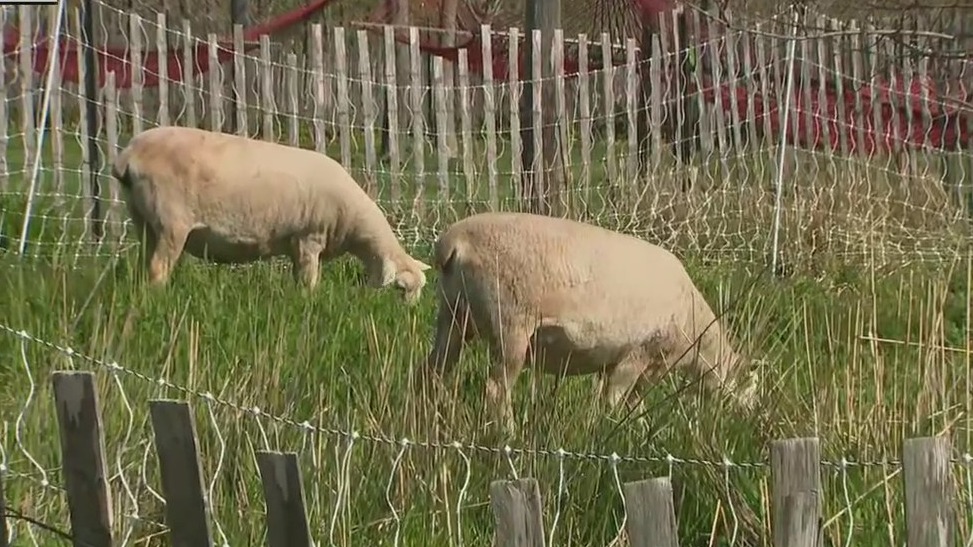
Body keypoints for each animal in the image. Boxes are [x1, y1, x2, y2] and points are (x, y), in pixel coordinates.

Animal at [110, 126, 431, 301]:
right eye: (401, 288)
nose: (409, 318)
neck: (353, 224)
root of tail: (128, 155)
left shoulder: (296, 245)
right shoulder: (309, 239)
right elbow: (309, 282)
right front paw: (309, 303)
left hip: (143, 219)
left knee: (145, 264)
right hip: (171, 221)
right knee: (158, 269)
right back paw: (159, 299)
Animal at [421, 211, 758, 432]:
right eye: (751, 391)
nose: (749, 423)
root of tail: (453, 242)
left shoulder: (633, 363)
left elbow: (630, 400)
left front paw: (632, 427)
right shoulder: (640, 354)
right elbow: (619, 397)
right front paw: (618, 428)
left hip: (453, 317)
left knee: (432, 371)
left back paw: (434, 417)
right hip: (510, 325)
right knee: (495, 390)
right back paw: (508, 433)